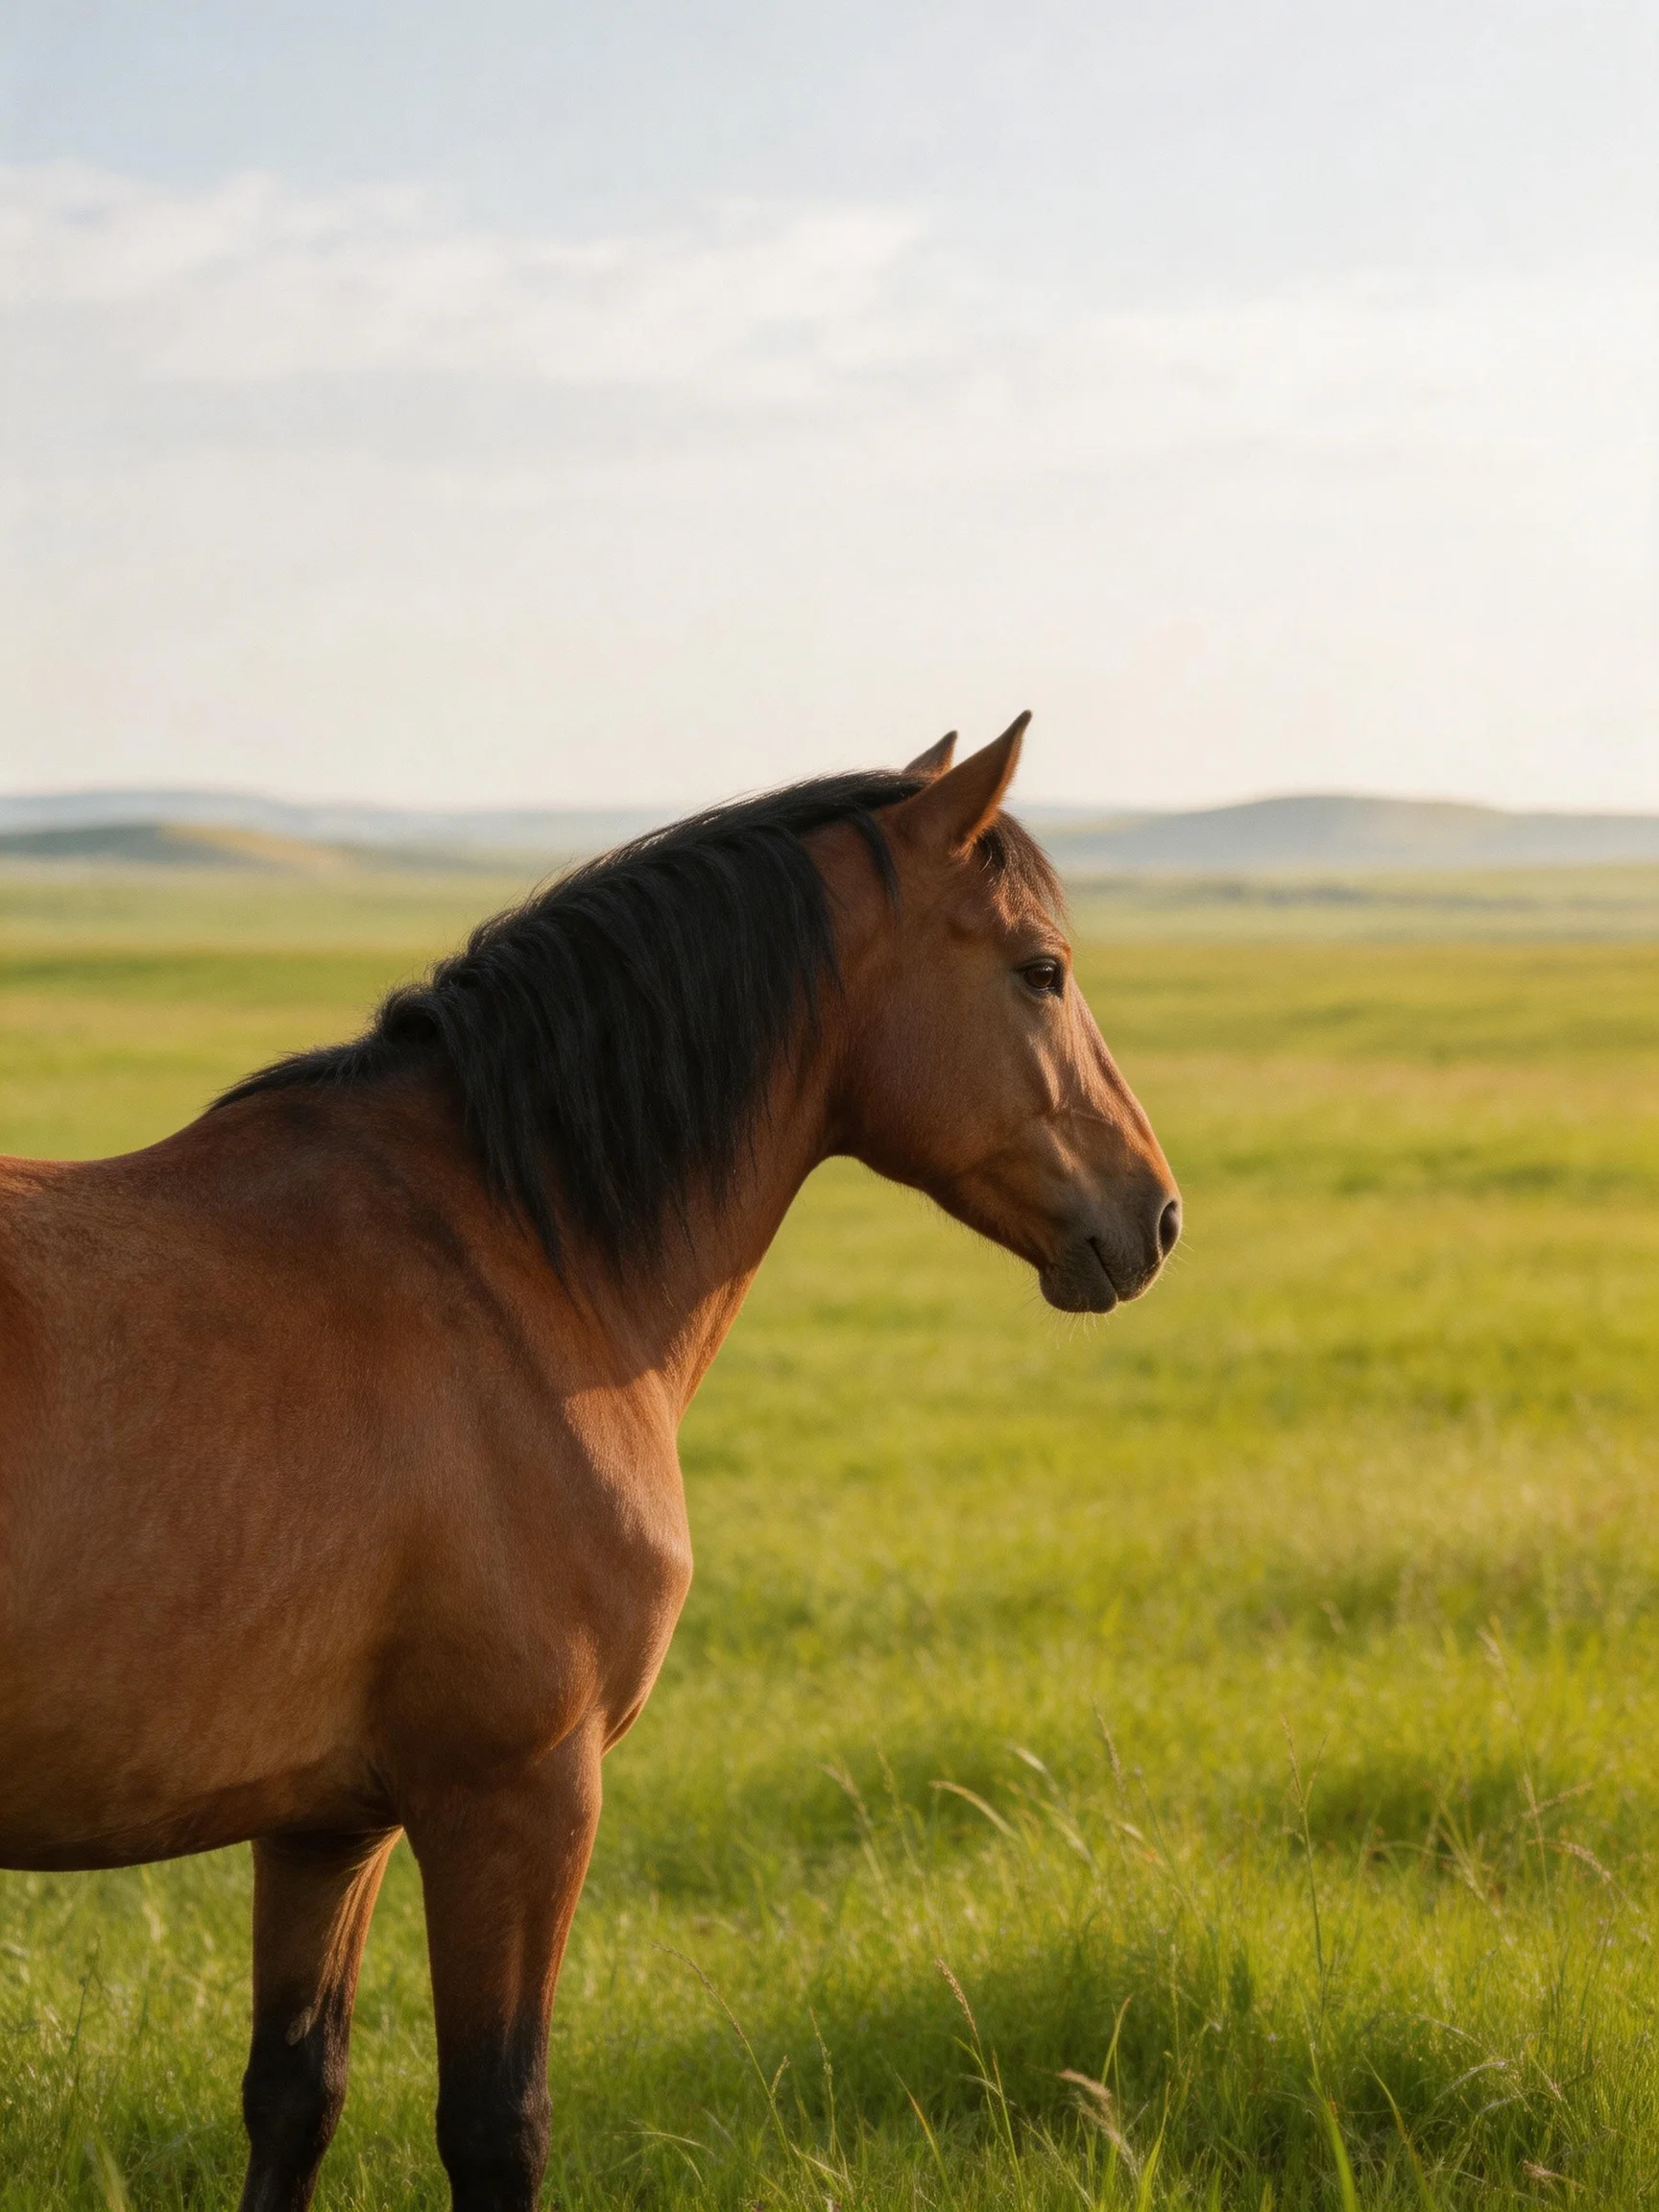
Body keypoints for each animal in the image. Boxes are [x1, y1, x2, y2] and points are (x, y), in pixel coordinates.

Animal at [0, 717, 1179, 2210]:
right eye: (1042, 971)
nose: (1157, 1215)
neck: (505, 1254)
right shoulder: (520, 1798)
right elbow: (498, 2124)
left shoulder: (326, 1823)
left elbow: (293, 2094)